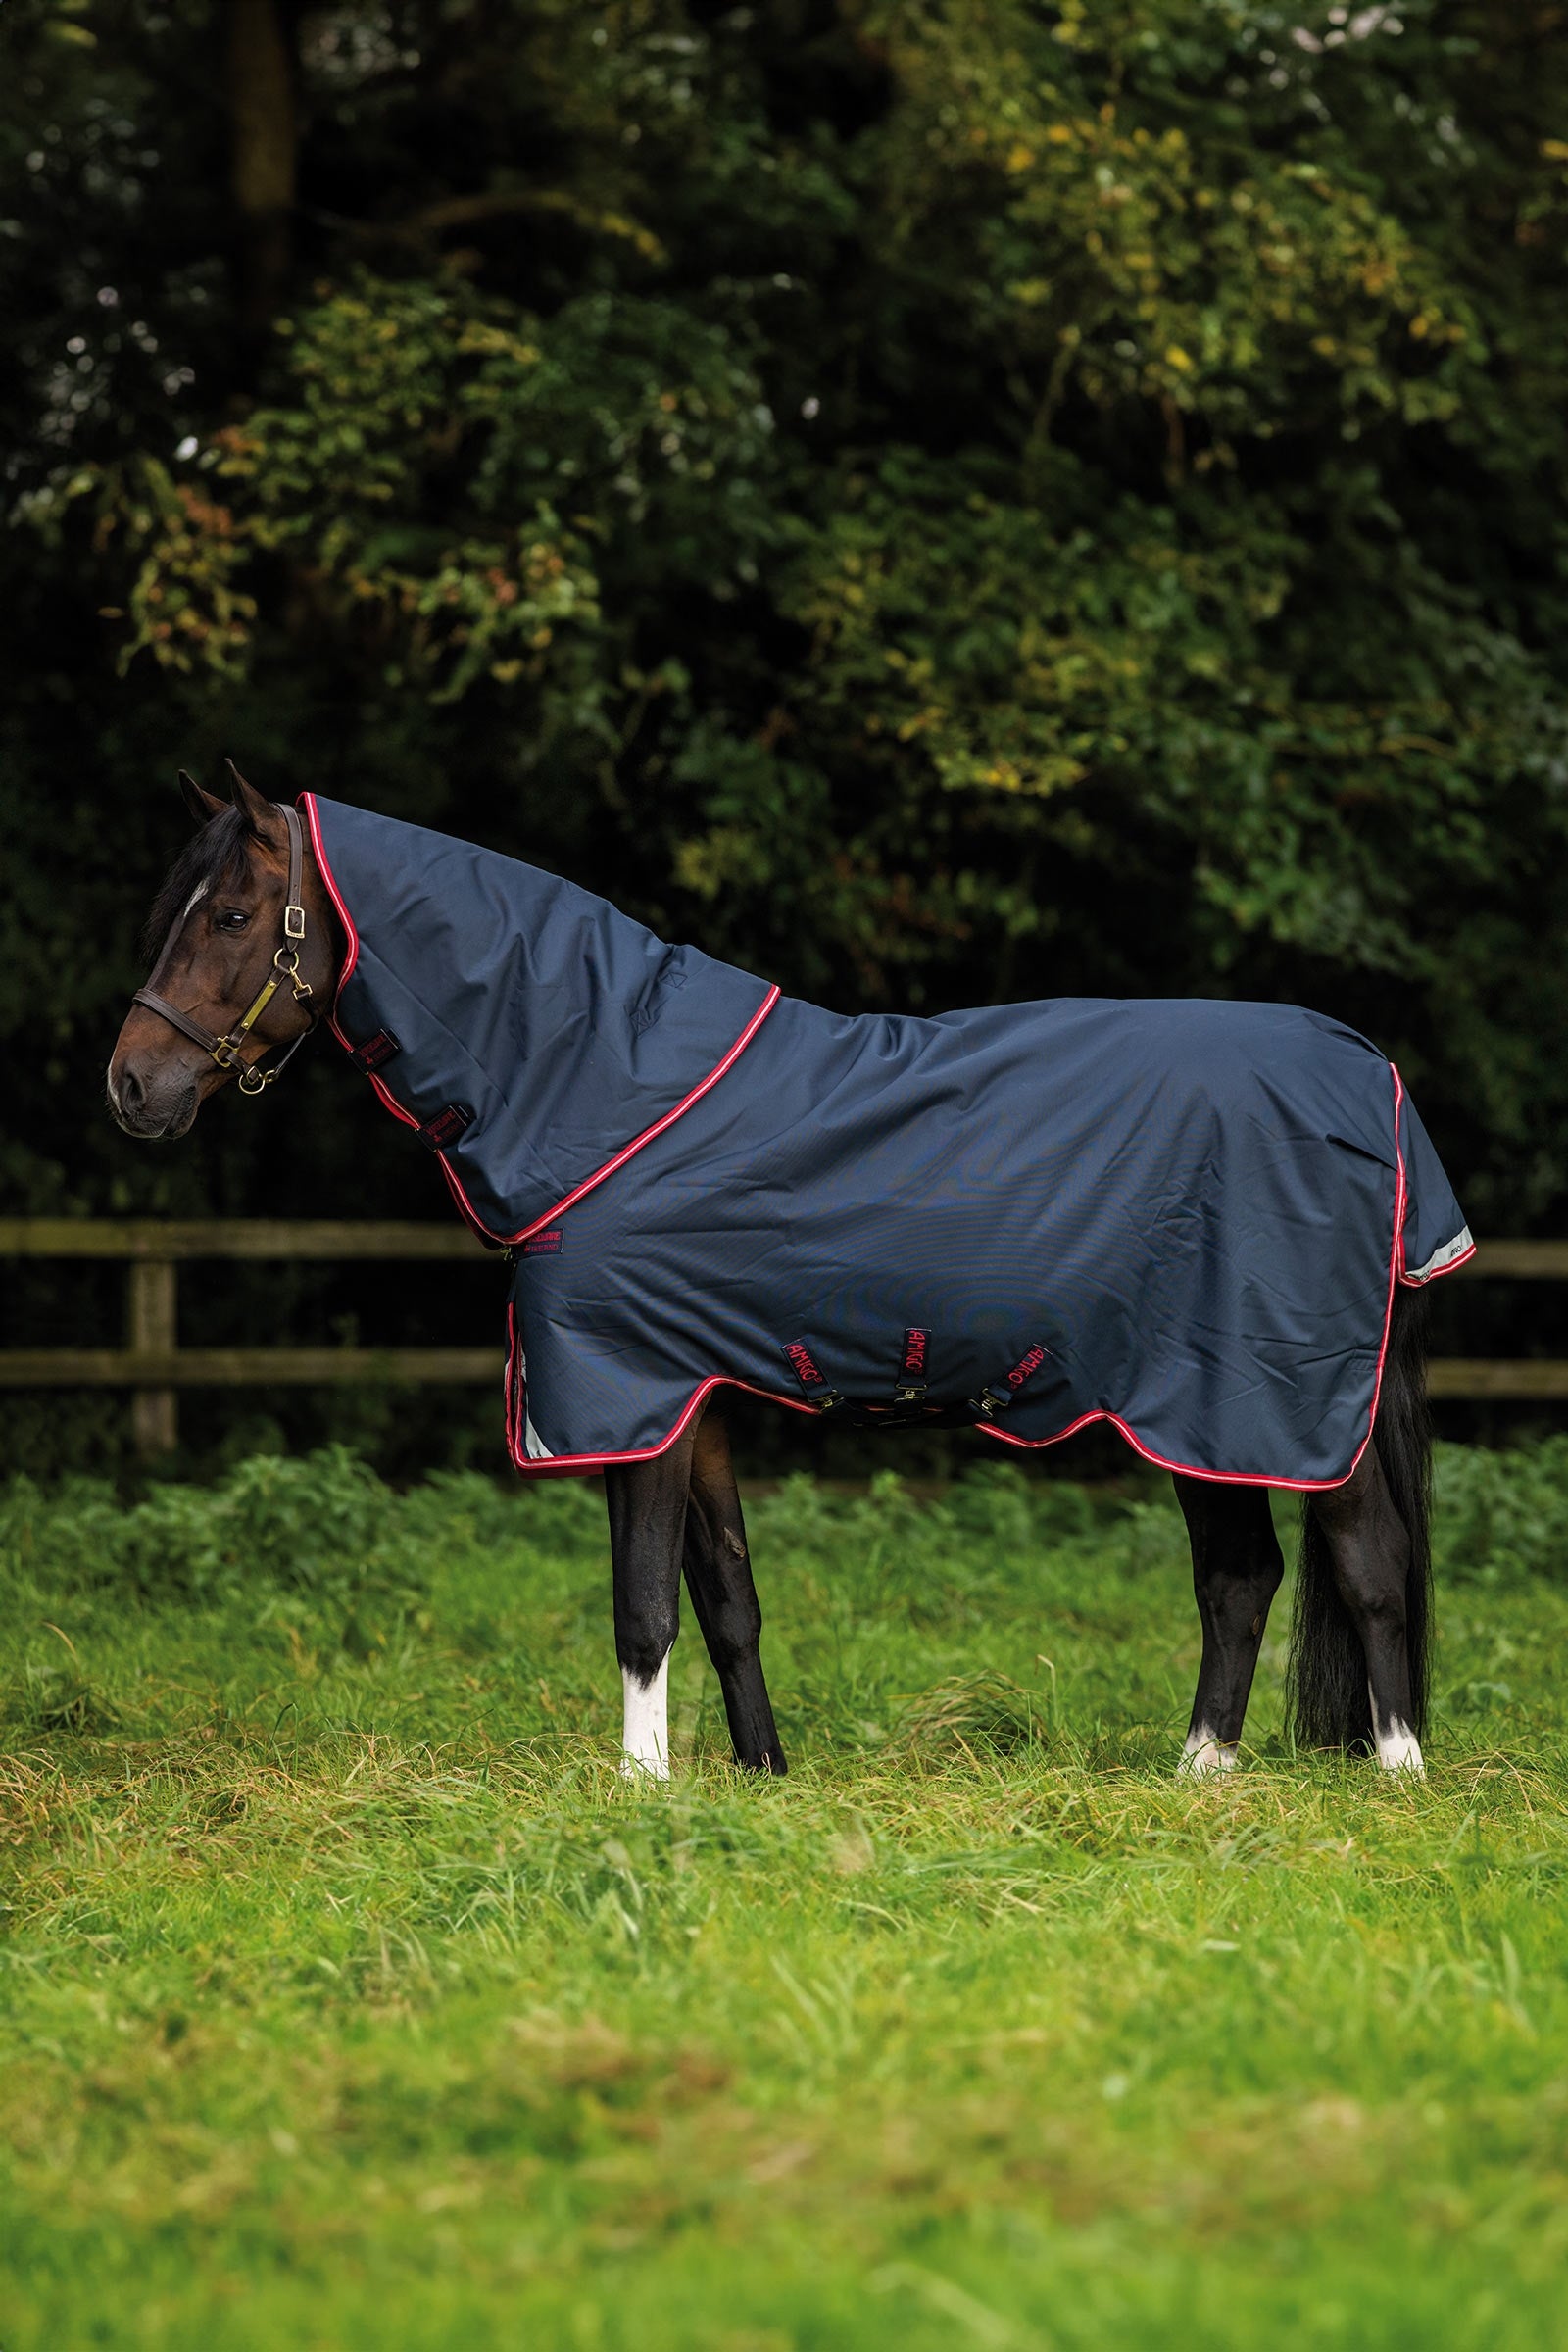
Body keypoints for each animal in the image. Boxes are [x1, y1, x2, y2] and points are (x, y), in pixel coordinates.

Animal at [109, 766, 1473, 1782]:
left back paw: (1395, 1776)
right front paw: (759, 1776)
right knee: (1240, 1577)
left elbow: (642, 1606)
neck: (604, 1077)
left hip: (1289, 1396)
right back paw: (1198, 1776)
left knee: (1364, 1565)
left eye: (229, 917)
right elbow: (724, 1599)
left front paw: (639, 1789)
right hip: (1195, 1405)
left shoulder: (630, 1389)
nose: (132, 1087)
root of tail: (1373, 1079)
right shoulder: (695, 1397)